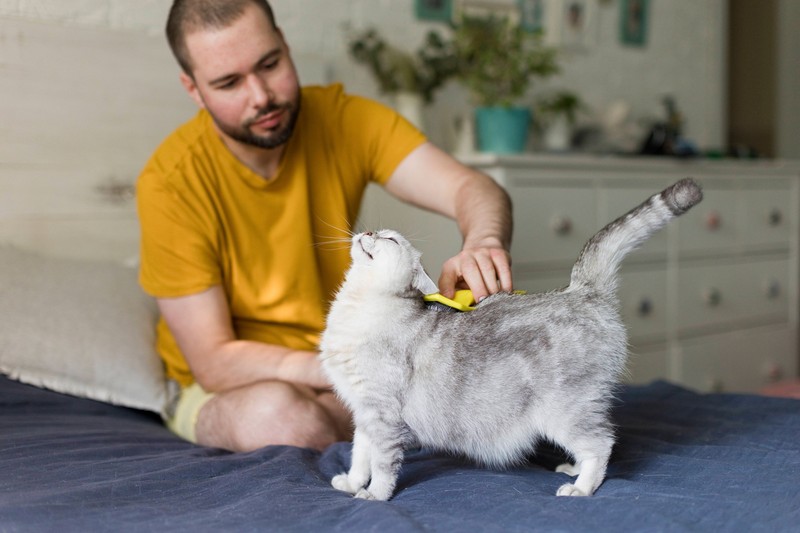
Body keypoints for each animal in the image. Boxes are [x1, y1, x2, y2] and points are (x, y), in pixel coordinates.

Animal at [318, 178, 700, 498]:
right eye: (379, 233)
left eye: (390, 240)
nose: (368, 231)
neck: (355, 309)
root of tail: (581, 289)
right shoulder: (363, 414)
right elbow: (359, 455)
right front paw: (352, 483)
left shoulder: (383, 416)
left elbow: (382, 465)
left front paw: (374, 495)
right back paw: (573, 469)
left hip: (564, 411)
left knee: (602, 444)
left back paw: (582, 487)